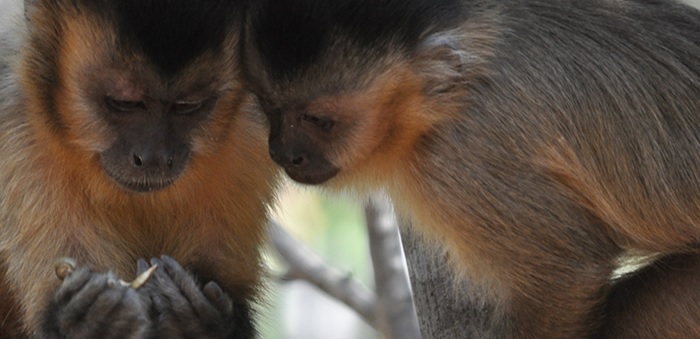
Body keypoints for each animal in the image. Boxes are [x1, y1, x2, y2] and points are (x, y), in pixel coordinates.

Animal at [0, 1, 278, 338]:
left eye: (187, 106)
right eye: (125, 103)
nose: (154, 157)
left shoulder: (251, 137)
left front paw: (197, 320)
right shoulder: (17, 126)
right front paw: (89, 320)